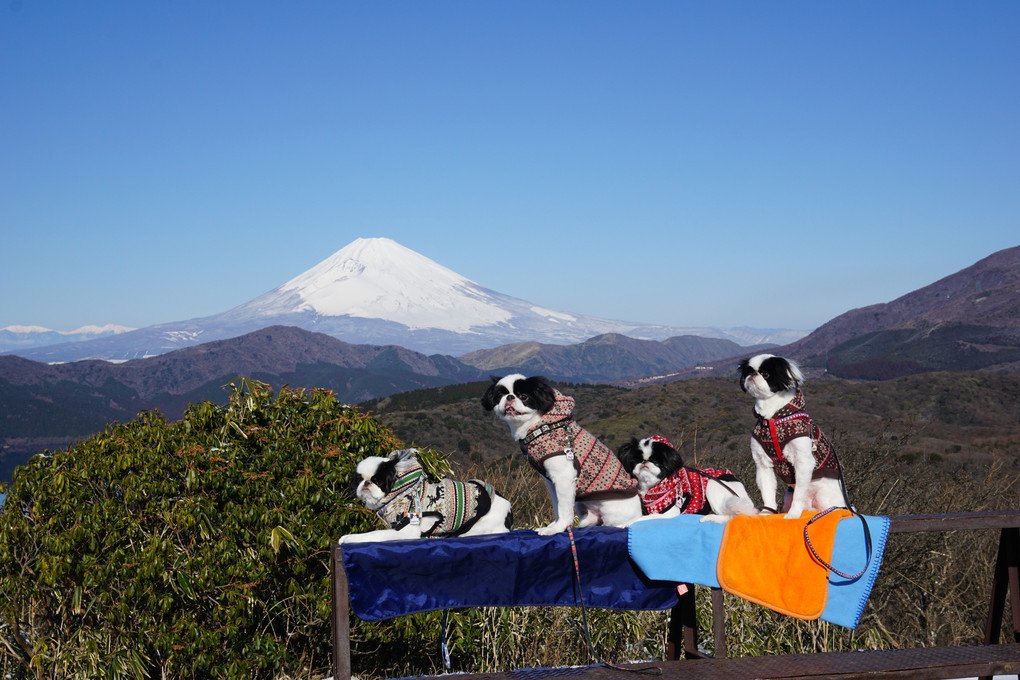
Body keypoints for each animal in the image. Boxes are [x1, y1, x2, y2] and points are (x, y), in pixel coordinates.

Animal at [340, 448, 514, 546]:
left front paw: (350, 539)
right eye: (359, 480)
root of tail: (509, 512)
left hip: (479, 528)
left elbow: (373, 534)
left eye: (377, 481)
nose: (366, 483)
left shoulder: (405, 531)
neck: (400, 493)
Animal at [481, 375, 640, 534]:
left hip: (612, 512)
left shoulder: (563, 478)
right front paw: (554, 525)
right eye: (499, 396)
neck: (539, 427)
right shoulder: (551, 481)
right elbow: (557, 507)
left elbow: (564, 509)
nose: (509, 397)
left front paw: (558, 528)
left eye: (524, 396)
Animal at [612, 434, 758, 526]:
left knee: (734, 516)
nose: (644, 462)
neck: (651, 488)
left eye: (656, 461)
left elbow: (643, 518)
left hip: (713, 485)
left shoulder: (668, 513)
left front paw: (623, 524)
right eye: (636, 460)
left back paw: (710, 518)